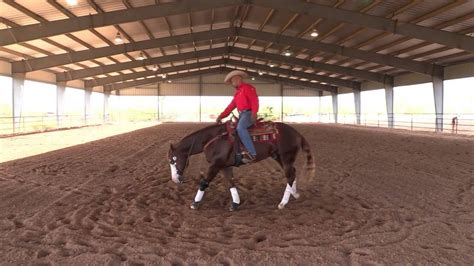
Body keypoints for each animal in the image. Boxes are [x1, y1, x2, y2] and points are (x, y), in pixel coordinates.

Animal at [167, 119, 314, 211]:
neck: (214, 139)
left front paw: (194, 203)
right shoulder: (224, 166)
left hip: (286, 157)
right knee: (292, 173)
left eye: (173, 159)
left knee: (290, 175)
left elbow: (204, 182)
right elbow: (230, 183)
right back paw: (294, 194)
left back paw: (283, 203)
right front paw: (235, 204)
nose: (175, 179)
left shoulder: (215, 165)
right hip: (279, 157)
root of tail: (297, 133)